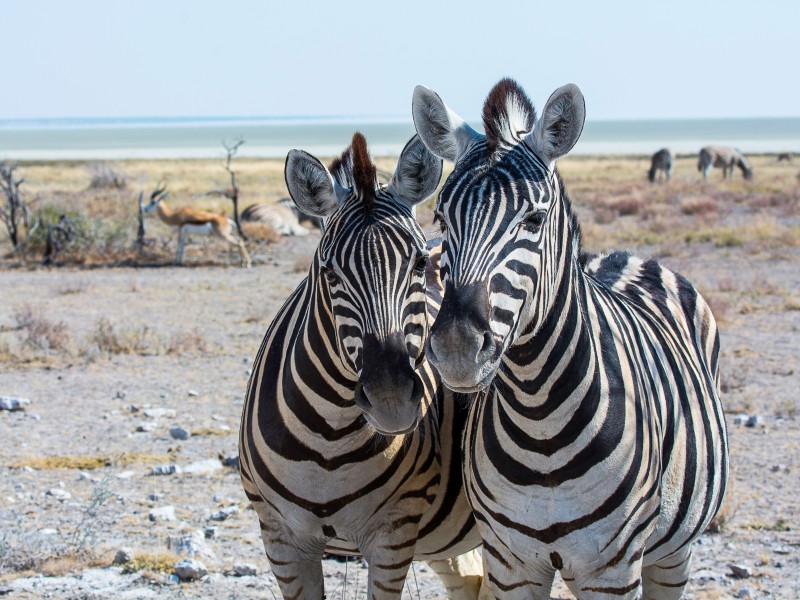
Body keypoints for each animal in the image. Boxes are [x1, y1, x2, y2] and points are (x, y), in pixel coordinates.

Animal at [238, 132, 487, 599]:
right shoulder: (279, 537)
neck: (328, 442)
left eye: (419, 264)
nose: (391, 400)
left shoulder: (393, 533)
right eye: (329, 273)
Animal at [412, 78, 729, 599]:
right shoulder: (511, 562)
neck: (540, 423)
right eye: (440, 219)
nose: (457, 349)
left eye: (534, 221)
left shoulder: (612, 569)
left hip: (673, 550)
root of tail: (627, 255)